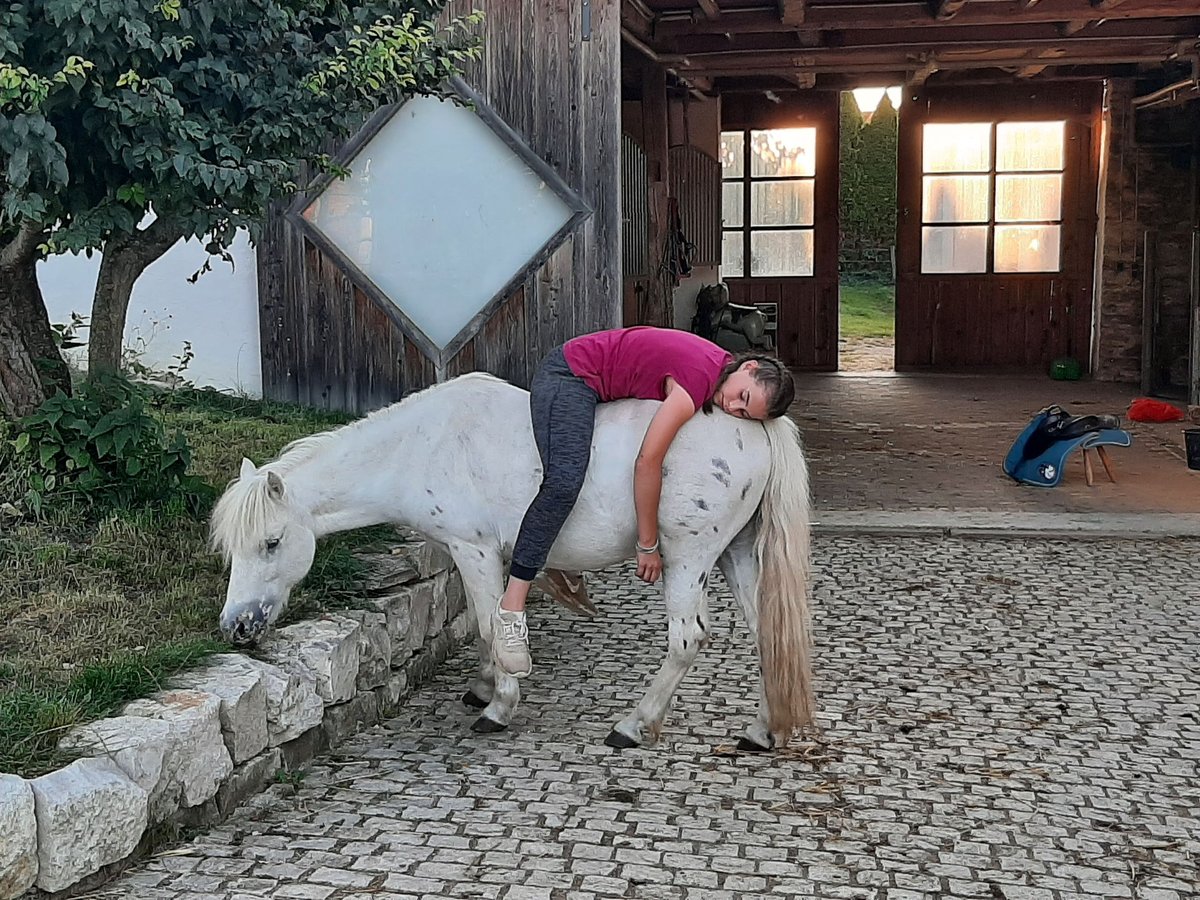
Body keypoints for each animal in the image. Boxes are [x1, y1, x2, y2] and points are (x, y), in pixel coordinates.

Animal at [216, 369, 816, 748]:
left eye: (272, 542)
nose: (237, 626)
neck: (421, 445)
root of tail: (756, 425)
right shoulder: (481, 555)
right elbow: (485, 625)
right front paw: (485, 683)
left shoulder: (473, 549)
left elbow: (488, 621)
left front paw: (499, 705)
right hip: (734, 553)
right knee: (767, 631)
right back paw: (763, 731)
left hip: (689, 557)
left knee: (687, 639)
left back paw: (632, 725)